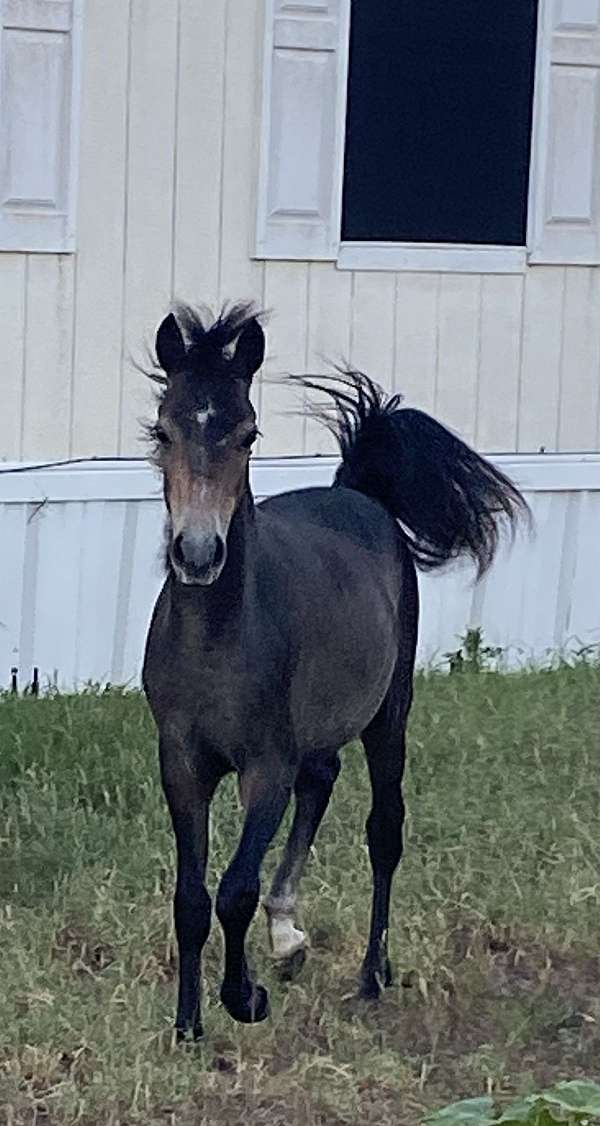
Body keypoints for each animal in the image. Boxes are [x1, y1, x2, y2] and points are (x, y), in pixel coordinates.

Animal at [141, 299, 524, 1035]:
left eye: (248, 435)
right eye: (163, 430)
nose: (198, 554)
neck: (217, 641)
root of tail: (359, 495)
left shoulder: (266, 763)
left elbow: (234, 888)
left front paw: (246, 999)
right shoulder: (182, 763)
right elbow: (191, 898)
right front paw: (188, 1024)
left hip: (389, 713)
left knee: (384, 830)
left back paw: (371, 974)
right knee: (322, 778)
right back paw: (288, 934)